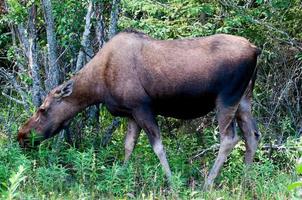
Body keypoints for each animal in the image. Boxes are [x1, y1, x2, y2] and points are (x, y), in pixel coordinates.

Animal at [17, 29, 260, 188]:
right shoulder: (131, 113)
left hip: (227, 97)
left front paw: (172, 184)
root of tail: (255, 49)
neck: (98, 85)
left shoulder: (142, 107)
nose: (21, 135)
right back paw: (246, 181)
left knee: (229, 138)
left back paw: (207, 184)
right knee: (252, 135)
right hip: (244, 99)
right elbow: (128, 146)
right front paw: (120, 176)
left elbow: (158, 147)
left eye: (42, 109)